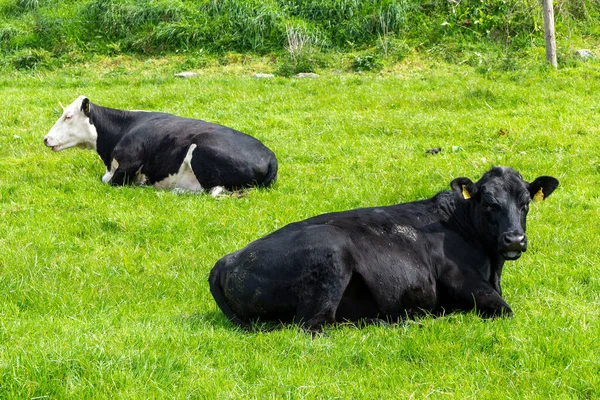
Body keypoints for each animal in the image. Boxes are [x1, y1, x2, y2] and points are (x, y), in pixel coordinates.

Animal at [43, 97, 278, 197]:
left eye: (68, 116)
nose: (46, 139)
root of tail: (270, 155)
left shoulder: (129, 163)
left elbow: (109, 181)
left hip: (200, 152)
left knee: (212, 191)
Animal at [210, 166, 556, 332]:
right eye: (488, 203)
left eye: (526, 202)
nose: (514, 240)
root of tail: (226, 260)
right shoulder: (463, 281)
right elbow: (504, 310)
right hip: (330, 254)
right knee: (313, 326)